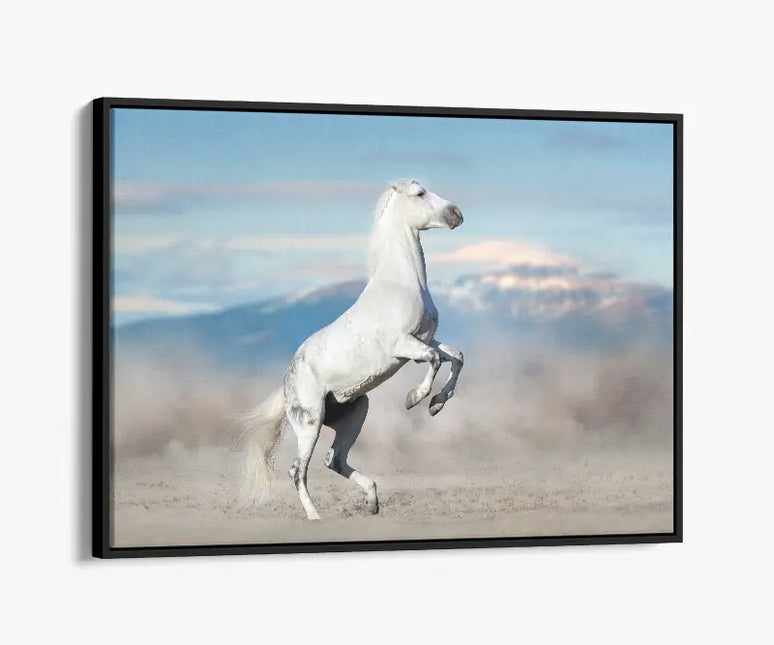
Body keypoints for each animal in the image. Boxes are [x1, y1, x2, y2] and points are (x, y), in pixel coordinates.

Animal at [241, 179, 464, 520]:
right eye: (419, 194)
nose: (456, 214)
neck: (401, 284)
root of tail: (286, 385)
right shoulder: (404, 345)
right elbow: (436, 360)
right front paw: (415, 399)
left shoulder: (424, 339)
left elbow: (456, 357)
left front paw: (436, 405)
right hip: (309, 422)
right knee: (298, 470)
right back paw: (316, 517)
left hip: (355, 412)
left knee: (333, 459)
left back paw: (372, 500)